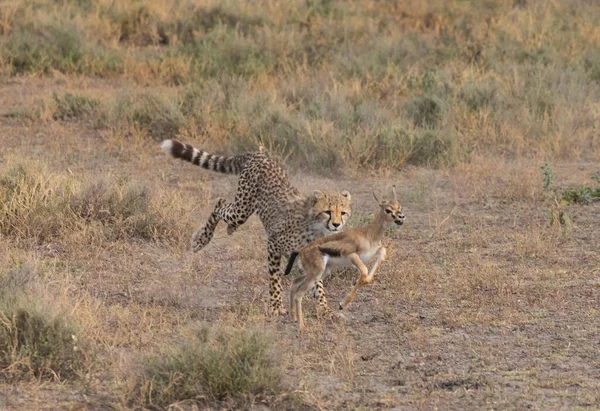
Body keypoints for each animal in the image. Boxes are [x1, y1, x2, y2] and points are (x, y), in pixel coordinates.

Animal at [162, 139, 354, 316]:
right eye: (328, 212)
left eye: (343, 212)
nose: (336, 224)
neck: (316, 228)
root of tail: (260, 155)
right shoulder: (274, 244)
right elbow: (275, 279)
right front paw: (276, 306)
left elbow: (318, 285)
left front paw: (324, 309)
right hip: (241, 209)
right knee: (220, 204)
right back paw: (201, 239)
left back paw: (229, 229)